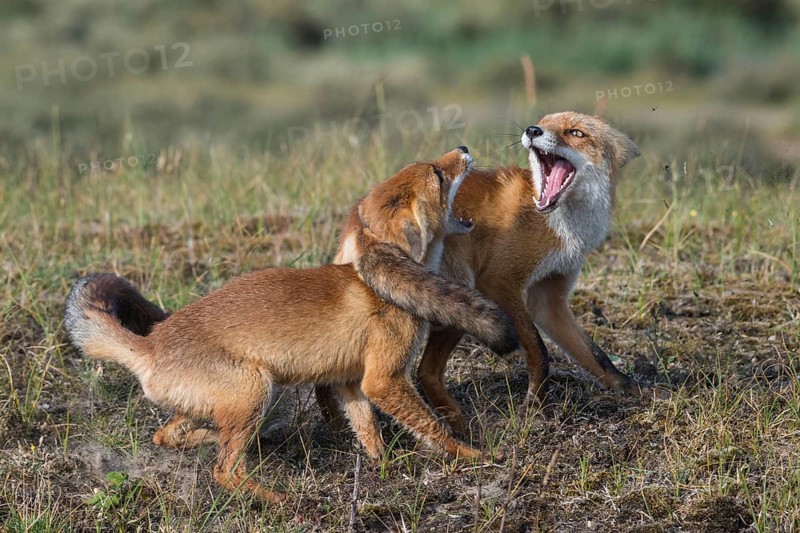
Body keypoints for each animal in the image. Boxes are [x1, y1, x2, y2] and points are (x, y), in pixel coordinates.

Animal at [64, 147, 521, 502]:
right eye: (438, 175)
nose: (463, 148)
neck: (377, 284)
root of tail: (151, 344)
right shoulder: (383, 379)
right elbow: (432, 428)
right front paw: (473, 457)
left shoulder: (351, 382)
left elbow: (368, 429)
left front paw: (382, 467)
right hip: (256, 392)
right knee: (223, 471)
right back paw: (276, 497)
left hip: (218, 405)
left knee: (168, 436)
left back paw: (228, 445)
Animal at [316, 111, 661, 432]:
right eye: (543, 122)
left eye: (576, 133)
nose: (532, 130)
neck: (561, 224)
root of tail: (361, 217)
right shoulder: (499, 282)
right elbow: (539, 352)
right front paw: (534, 406)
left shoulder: (551, 297)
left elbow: (596, 356)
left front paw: (632, 389)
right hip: (461, 294)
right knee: (424, 371)